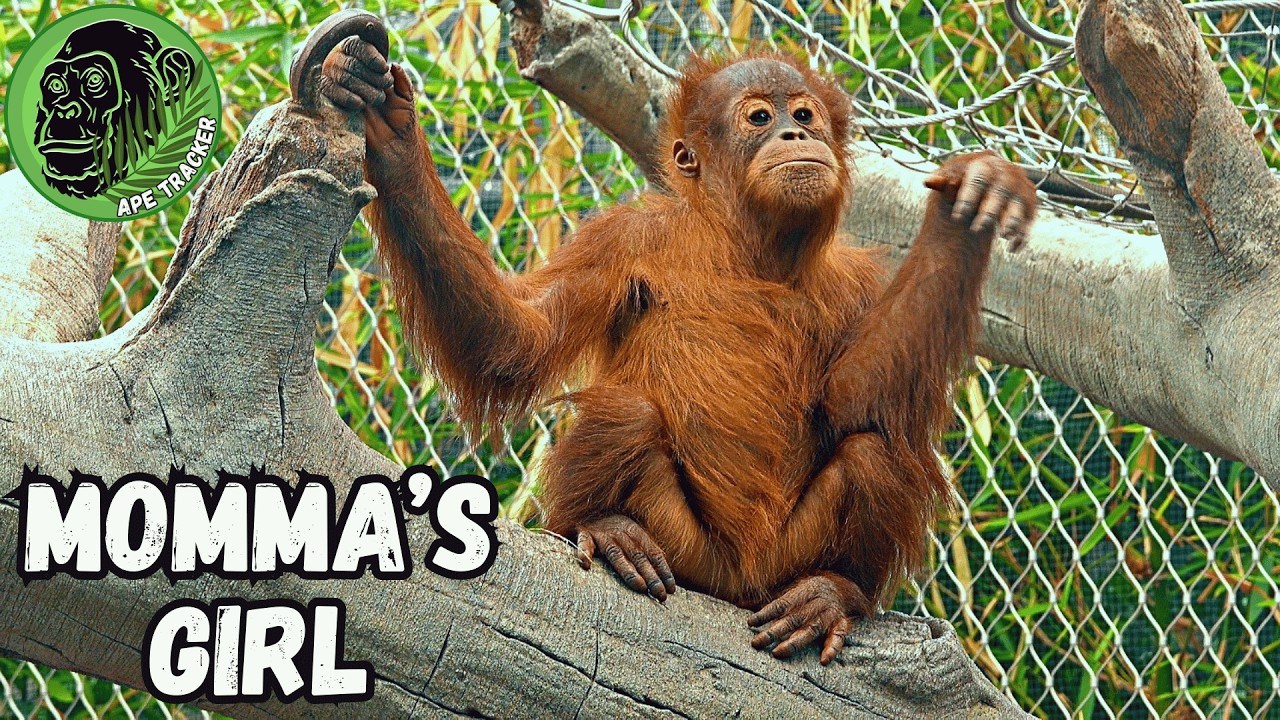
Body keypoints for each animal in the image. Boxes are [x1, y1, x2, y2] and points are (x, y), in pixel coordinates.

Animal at [320, 40, 1036, 664]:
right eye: (759, 117)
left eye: (803, 114)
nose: (795, 137)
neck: (748, 249)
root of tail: (734, 584)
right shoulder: (622, 238)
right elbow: (519, 340)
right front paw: (393, 134)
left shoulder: (860, 282)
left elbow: (853, 397)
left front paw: (968, 206)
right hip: (688, 552)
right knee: (627, 413)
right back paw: (605, 529)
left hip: (779, 565)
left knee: (873, 450)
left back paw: (833, 594)